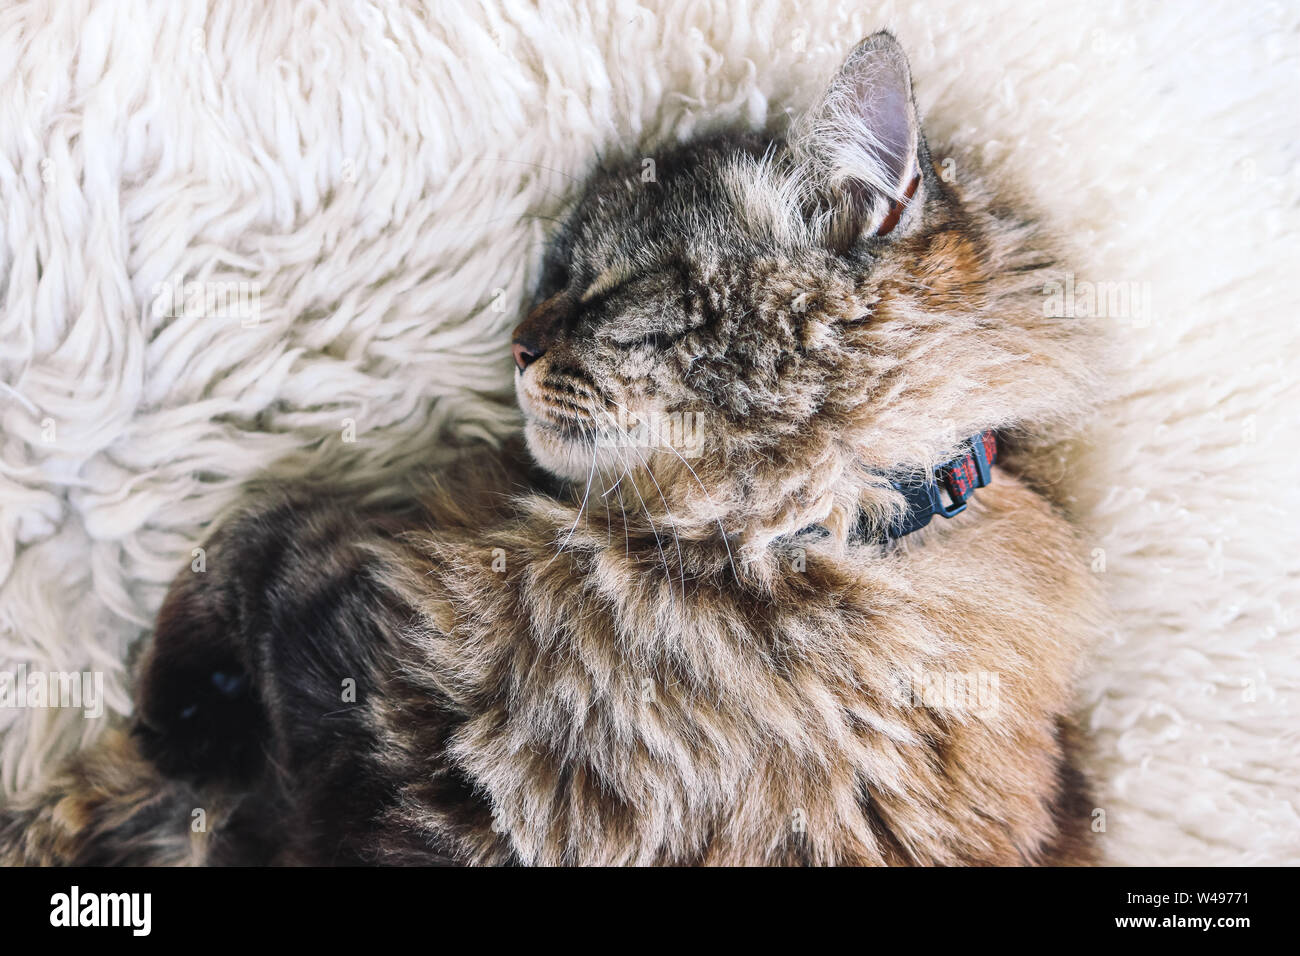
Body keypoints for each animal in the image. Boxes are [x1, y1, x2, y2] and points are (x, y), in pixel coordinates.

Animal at [0, 31, 1102, 868]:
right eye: (555, 275)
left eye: (617, 287)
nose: (519, 345)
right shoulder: (349, 627)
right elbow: (225, 589)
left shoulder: (341, 631)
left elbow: (242, 568)